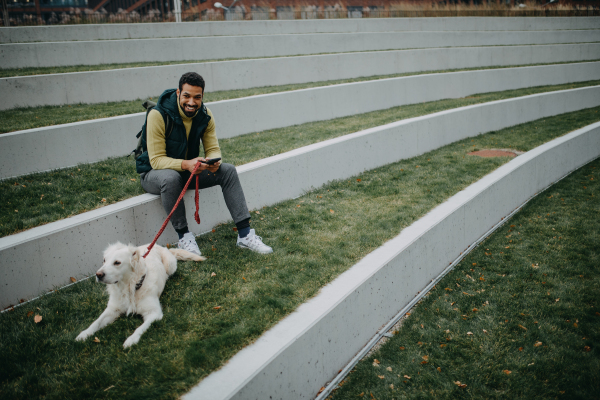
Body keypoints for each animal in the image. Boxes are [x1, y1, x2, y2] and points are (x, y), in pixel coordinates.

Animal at [75, 242, 204, 348]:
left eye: (117, 262)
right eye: (104, 260)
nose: (98, 275)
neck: (130, 288)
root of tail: (159, 245)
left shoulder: (154, 313)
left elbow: (140, 328)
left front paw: (131, 340)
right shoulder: (112, 309)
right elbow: (96, 322)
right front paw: (84, 334)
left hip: (170, 265)